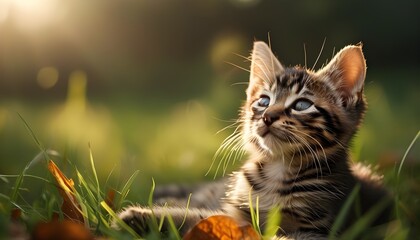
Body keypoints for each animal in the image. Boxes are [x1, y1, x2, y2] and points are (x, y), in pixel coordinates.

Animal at [117, 40, 390, 238]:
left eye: (302, 105)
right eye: (264, 101)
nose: (268, 116)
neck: (277, 170)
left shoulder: (317, 229)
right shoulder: (235, 211)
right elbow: (201, 218)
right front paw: (140, 217)